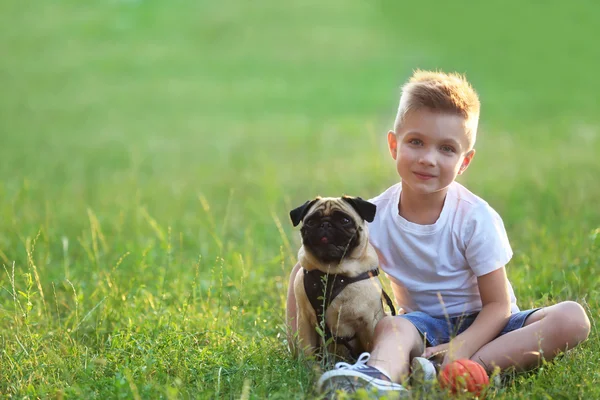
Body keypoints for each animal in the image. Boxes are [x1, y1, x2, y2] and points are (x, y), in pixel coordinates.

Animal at [290, 196, 394, 360]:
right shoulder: (305, 321)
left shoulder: (369, 323)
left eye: (345, 220)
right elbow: (307, 352)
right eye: (311, 222)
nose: (325, 224)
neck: (334, 273)